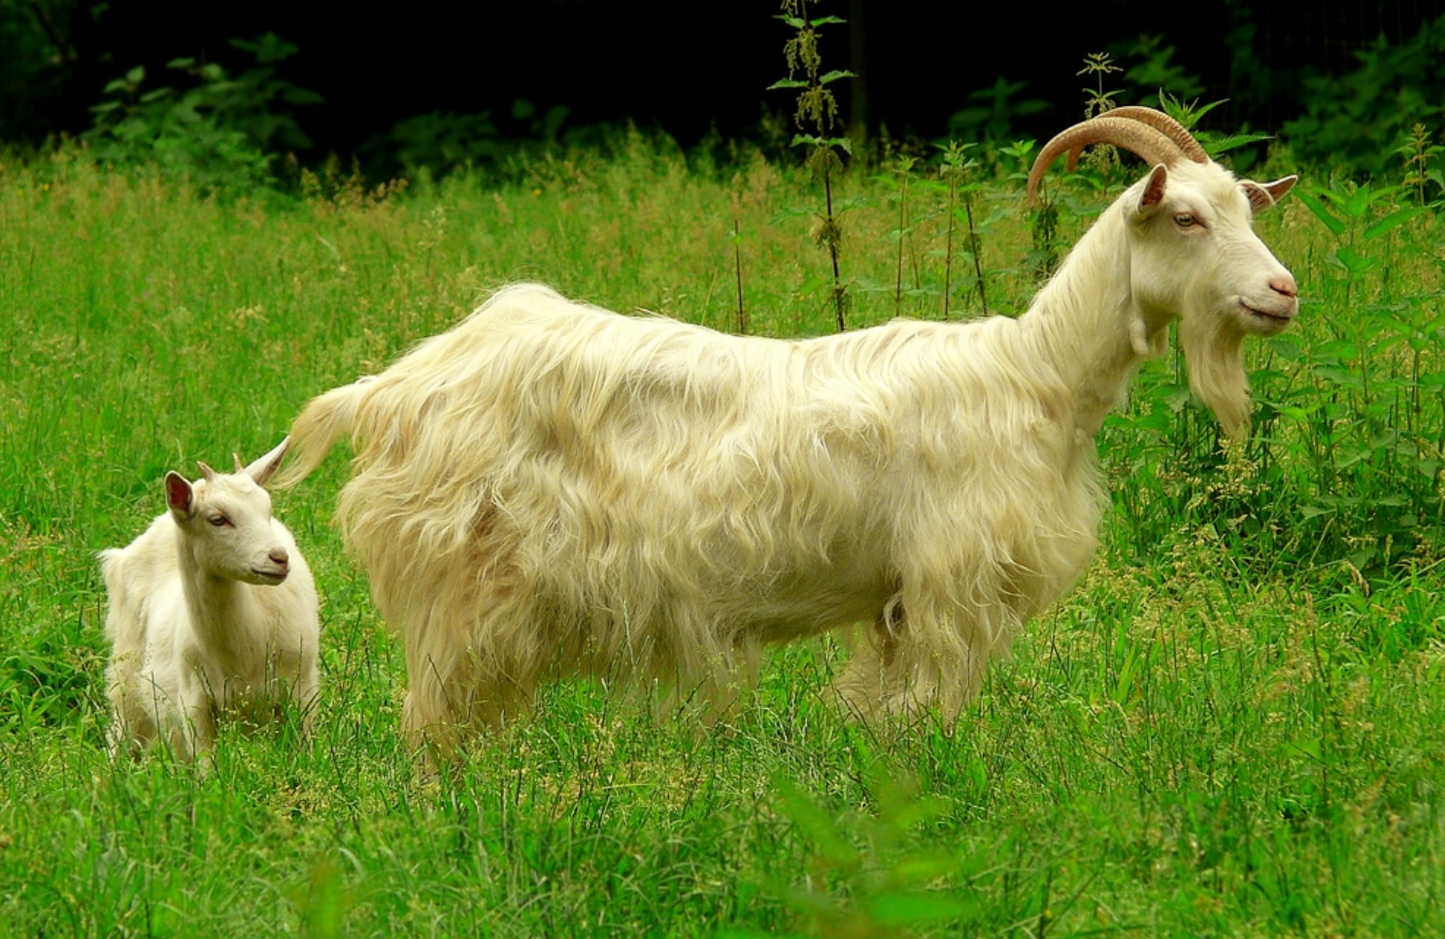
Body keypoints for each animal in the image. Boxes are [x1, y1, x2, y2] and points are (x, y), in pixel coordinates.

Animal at [101, 438, 320, 762]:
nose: (279, 558)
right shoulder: (194, 702)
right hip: (127, 669)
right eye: (218, 519)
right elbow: (207, 765)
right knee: (123, 730)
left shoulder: (301, 690)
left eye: (267, 510)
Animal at [279, 108, 1298, 757]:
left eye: (1246, 211)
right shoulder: (951, 579)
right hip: (462, 582)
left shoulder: (897, 598)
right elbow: (932, 706)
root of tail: (387, 389)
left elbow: (886, 707)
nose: (1282, 290)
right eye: (1184, 215)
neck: (1035, 374)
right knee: (432, 718)